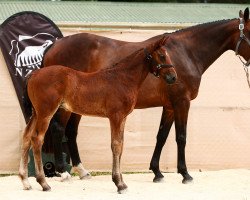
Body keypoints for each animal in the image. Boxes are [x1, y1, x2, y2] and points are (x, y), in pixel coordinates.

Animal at [18, 36, 177, 193]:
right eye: (162, 56)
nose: (173, 77)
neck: (123, 78)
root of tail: (34, 74)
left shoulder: (123, 118)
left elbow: (121, 145)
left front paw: (122, 182)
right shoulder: (116, 116)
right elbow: (116, 145)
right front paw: (119, 183)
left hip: (36, 113)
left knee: (26, 136)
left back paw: (25, 181)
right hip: (45, 112)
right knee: (37, 139)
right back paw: (44, 183)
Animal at [43, 7, 250, 183]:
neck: (186, 53)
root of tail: (53, 46)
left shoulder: (169, 106)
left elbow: (162, 136)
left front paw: (157, 172)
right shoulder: (182, 102)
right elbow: (181, 137)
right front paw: (185, 174)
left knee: (71, 131)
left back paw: (82, 171)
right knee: (58, 128)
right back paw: (63, 172)